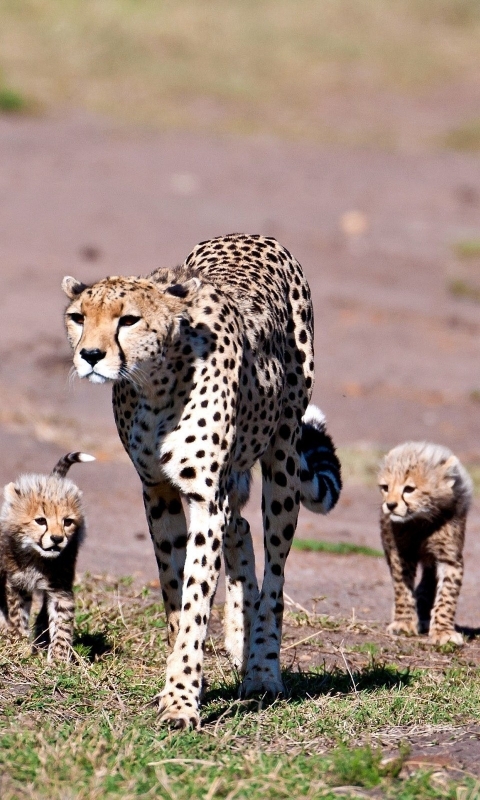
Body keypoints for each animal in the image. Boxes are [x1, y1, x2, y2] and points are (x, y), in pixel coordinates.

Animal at [62, 234, 342, 728]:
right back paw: (239, 640)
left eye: (128, 319)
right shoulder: (156, 491)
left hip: (283, 459)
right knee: (241, 529)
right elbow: (175, 593)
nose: (90, 356)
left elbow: (195, 598)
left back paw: (262, 669)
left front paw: (180, 700)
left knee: (275, 573)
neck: (155, 385)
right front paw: (188, 679)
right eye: (79, 317)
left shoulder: (204, 498)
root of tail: (252, 235)